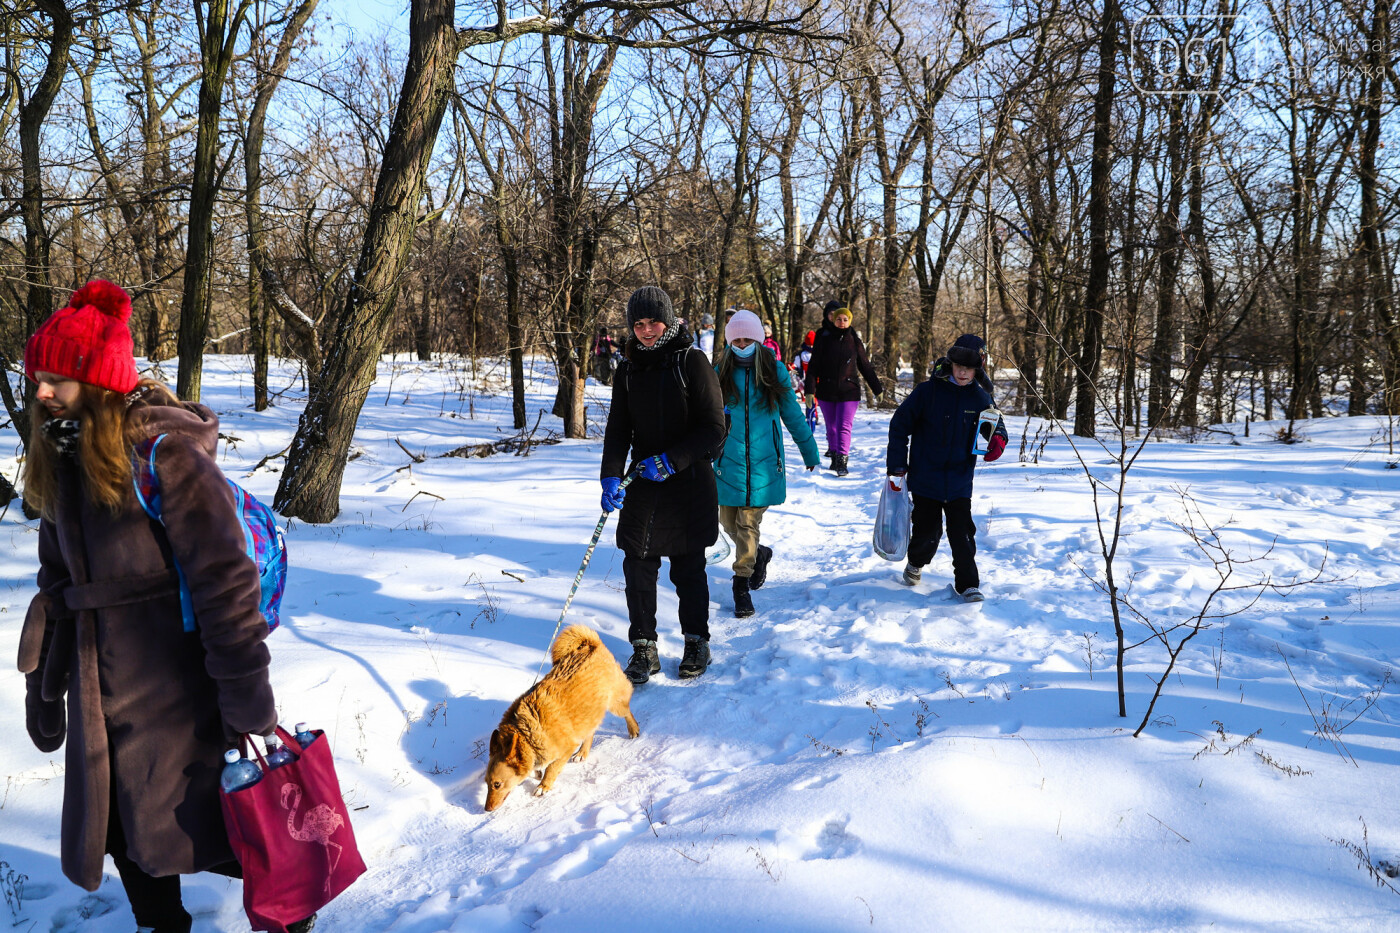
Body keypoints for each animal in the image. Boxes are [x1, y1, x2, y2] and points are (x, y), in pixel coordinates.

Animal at [481, 622, 635, 812]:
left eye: (497, 784)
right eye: (486, 783)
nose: (486, 809)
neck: (527, 734)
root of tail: (592, 644)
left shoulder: (565, 749)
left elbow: (552, 768)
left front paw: (543, 786)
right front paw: (537, 773)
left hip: (615, 703)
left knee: (627, 712)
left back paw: (633, 729)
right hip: (588, 712)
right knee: (590, 732)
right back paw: (582, 753)